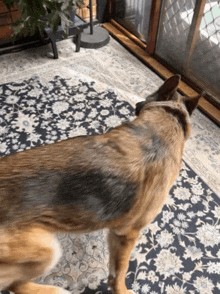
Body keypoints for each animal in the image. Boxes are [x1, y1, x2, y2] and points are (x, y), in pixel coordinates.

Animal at [0, 76, 201, 294]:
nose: (138, 104)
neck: (170, 118)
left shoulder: (115, 234)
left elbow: (114, 268)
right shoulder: (128, 234)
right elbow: (122, 269)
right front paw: (121, 290)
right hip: (47, 249)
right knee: (14, 283)